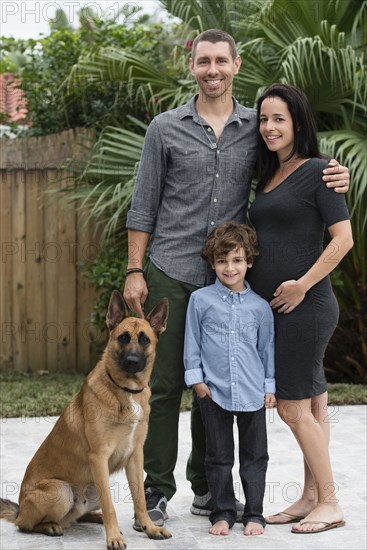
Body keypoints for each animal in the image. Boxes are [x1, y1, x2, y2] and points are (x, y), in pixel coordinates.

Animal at [0, 292, 171, 548]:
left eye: (144, 340)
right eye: (123, 337)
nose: (132, 361)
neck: (125, 390)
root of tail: (21, 508)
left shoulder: (135, 456)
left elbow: (140, 499)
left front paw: (149, 528)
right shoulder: (99, 457)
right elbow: (111, 505)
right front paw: (114, 537)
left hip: (91, 491)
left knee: (77, 516)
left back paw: (93, 517)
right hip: (61, 491)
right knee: (26, 525)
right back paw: (50, 526)